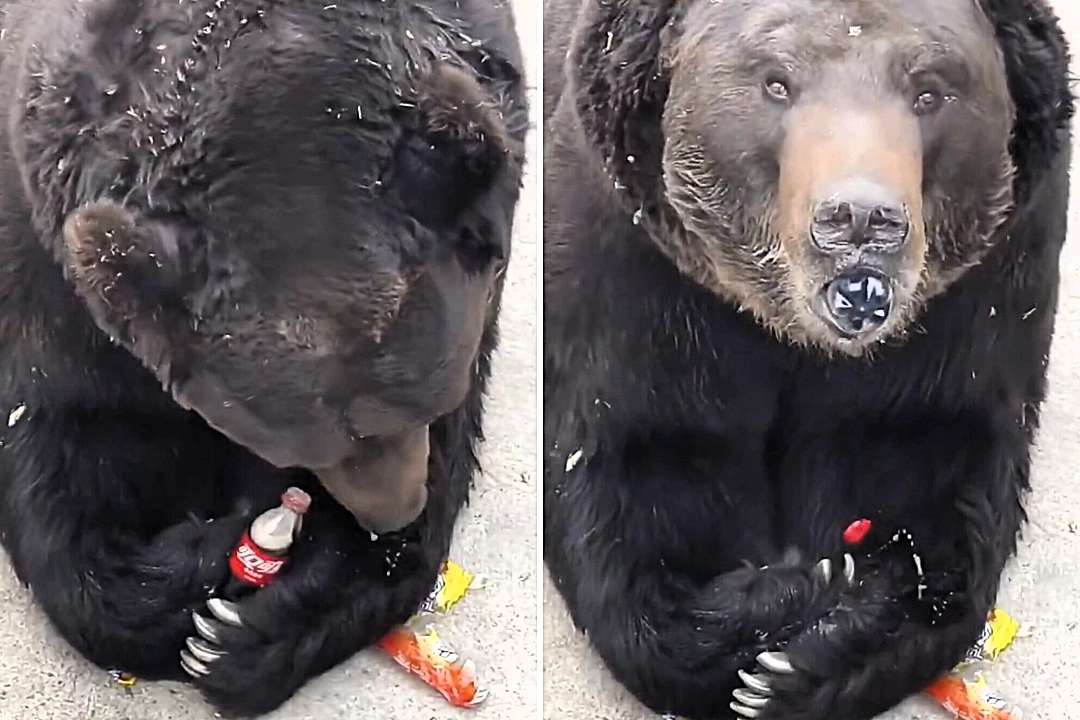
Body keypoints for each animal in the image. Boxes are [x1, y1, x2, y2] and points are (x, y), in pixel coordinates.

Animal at [0, 0, 526, 716]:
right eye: (308, 449)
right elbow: (62, 432)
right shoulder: (52, 255)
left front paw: (244, 635)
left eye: (424, 404)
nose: (388, 514)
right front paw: (187, 578)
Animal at [542, 0, 1072, 719]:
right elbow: (644, 472)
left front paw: (803, 659)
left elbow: (922, 478)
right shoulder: (649, 282)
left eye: (930, 90)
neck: (790, 334)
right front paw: (785, 605)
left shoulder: (967, 304)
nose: (860, 220)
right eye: (776, 82)